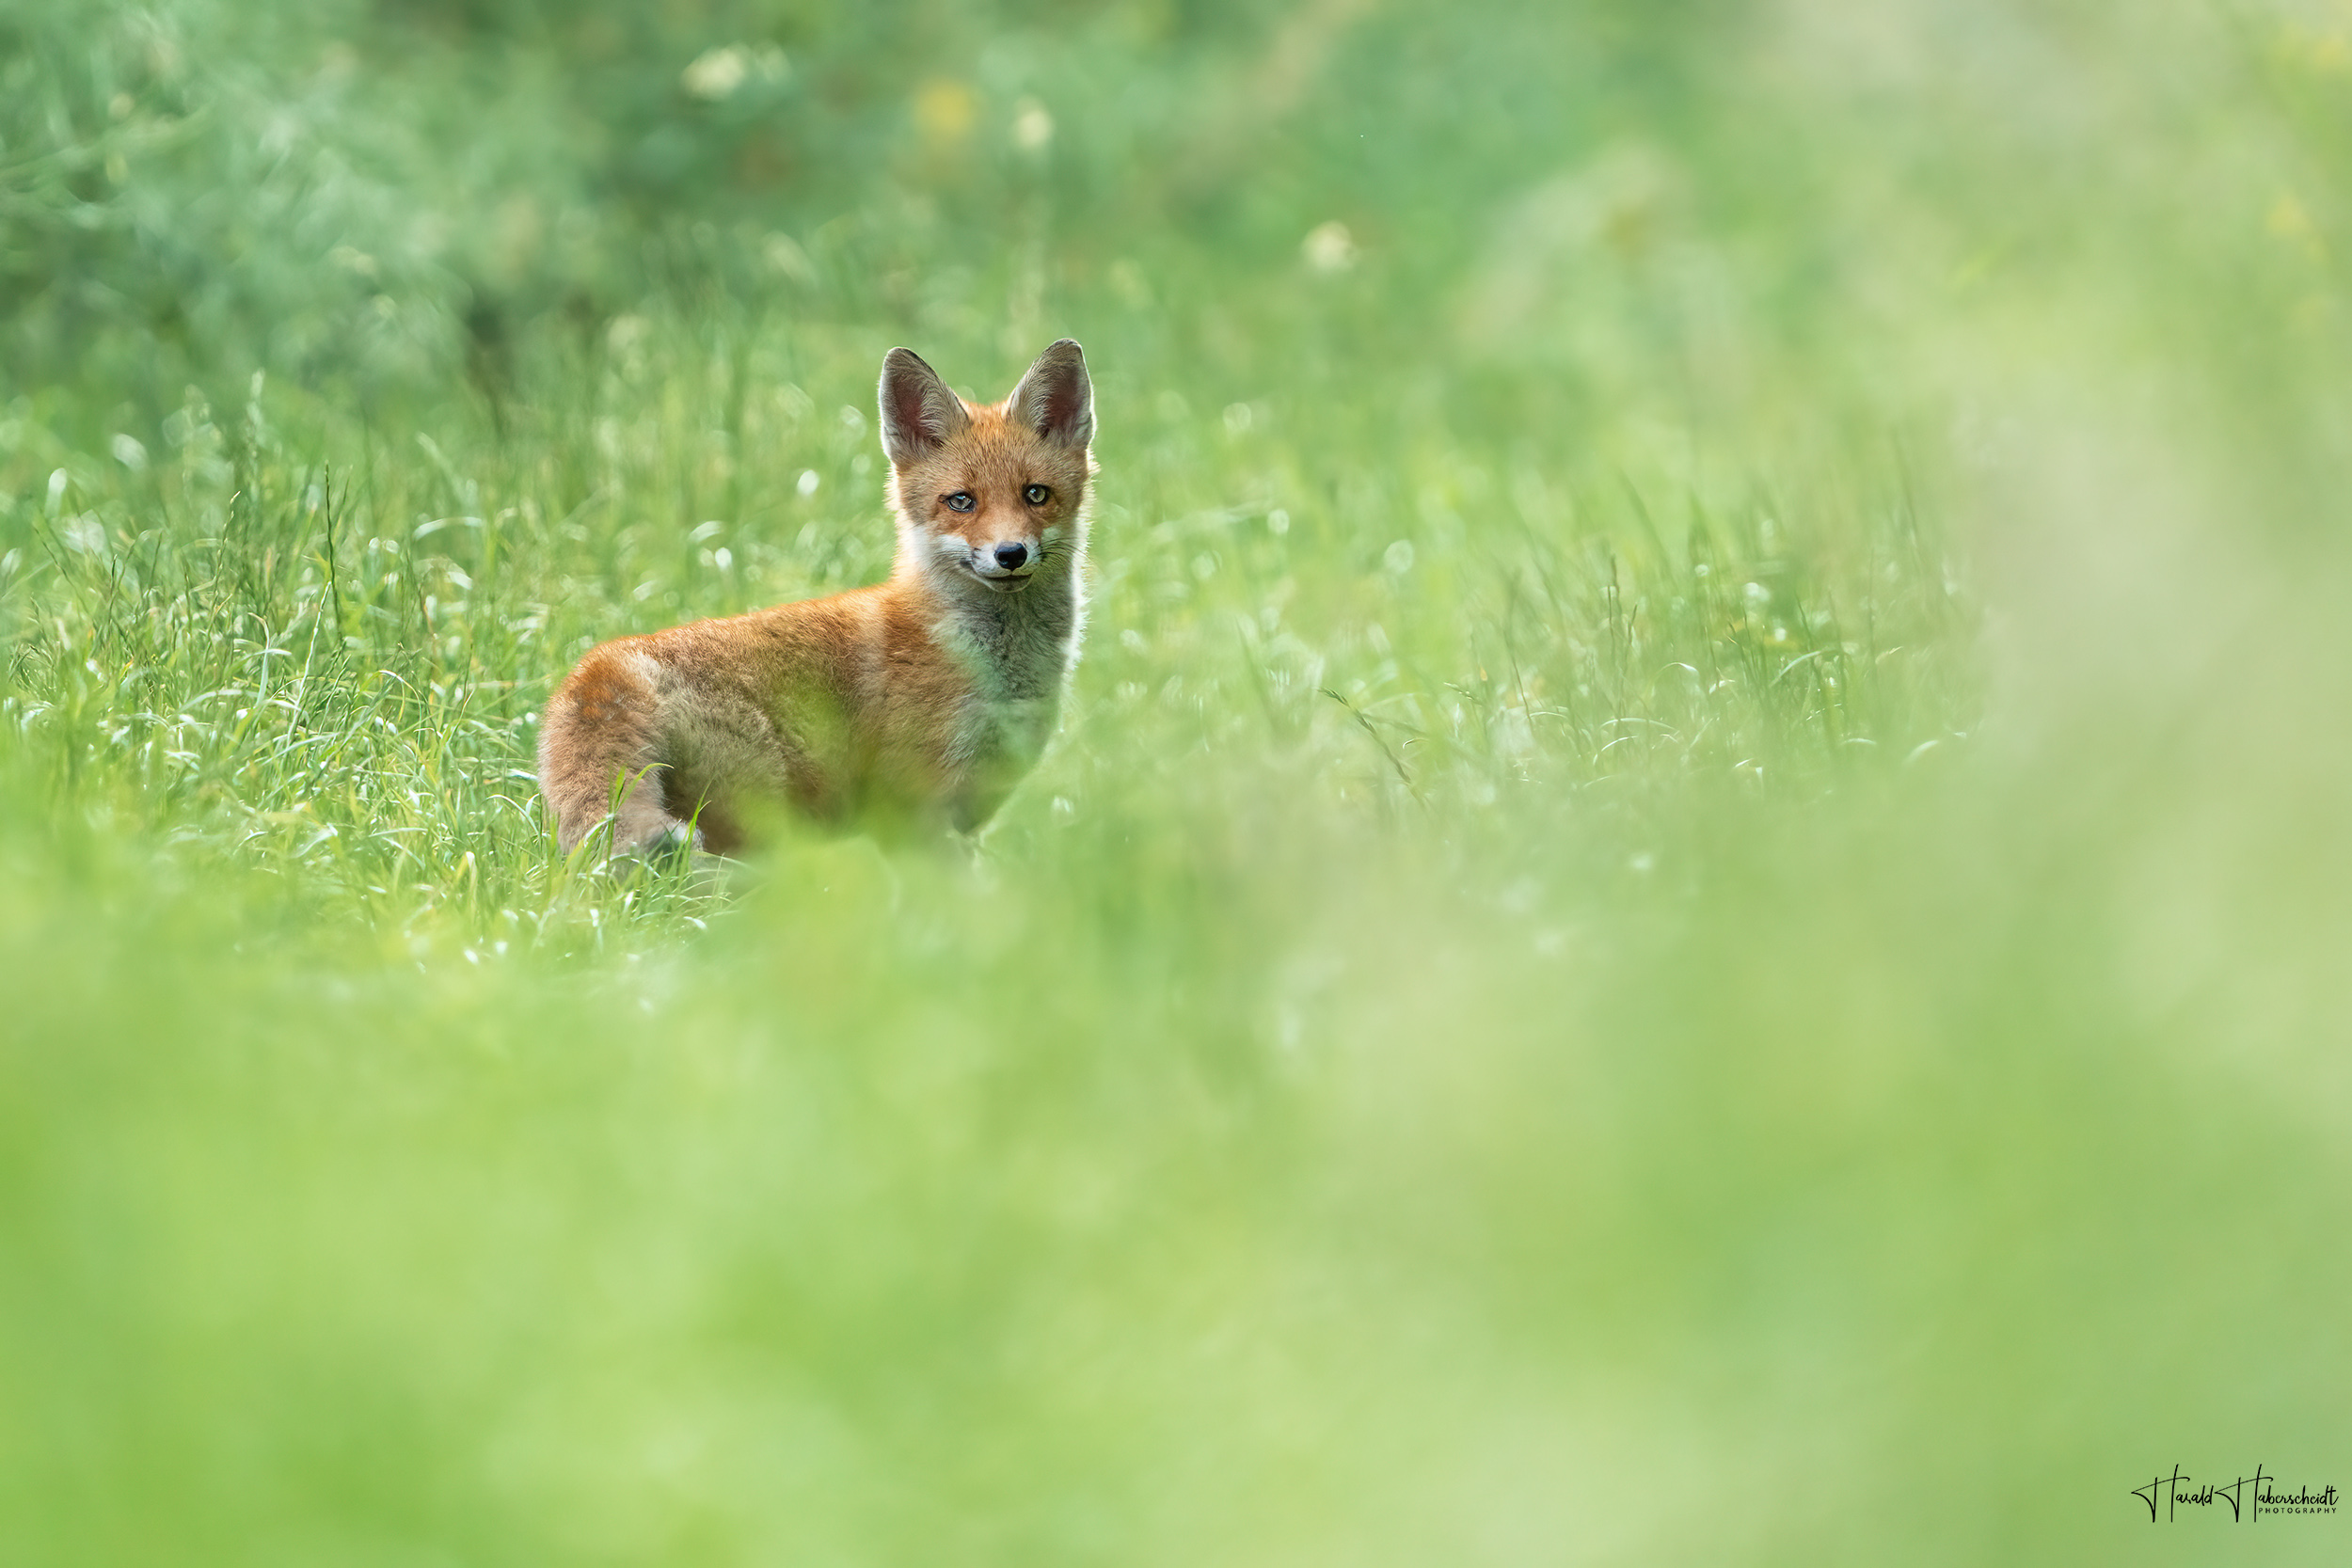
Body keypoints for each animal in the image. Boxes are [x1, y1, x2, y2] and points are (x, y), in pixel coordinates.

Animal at [543, 341, 1101, 860]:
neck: (992, 669)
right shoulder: (913, 817)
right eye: (961, 501)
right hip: (757, 818)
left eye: (1035, 494)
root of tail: (600, 670)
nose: (1011, 553)